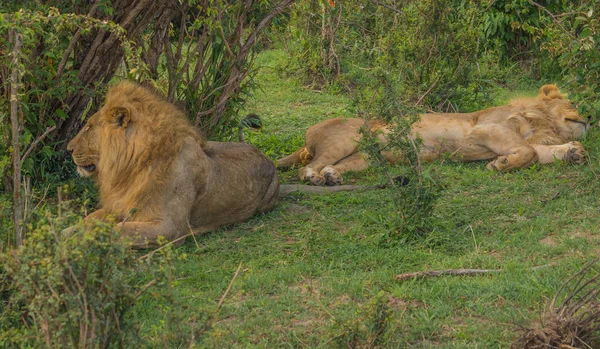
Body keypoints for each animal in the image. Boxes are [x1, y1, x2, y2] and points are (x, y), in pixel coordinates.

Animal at [67, 81, 278, 247]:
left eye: (88, 127)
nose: (68, 149)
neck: (132, 168)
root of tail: (266, 157)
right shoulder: (120, 206)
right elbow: (89, 218)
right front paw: (69, 232)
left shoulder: (170, 228)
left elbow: (119, 230)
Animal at [280, 84, 592, 185]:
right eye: (574, 103)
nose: (591, 117)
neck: (544, 124)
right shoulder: (488, 127)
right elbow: (528, 153)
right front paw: (500, 164)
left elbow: (537, 153)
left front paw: (574, 152)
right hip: (350, 137)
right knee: (308, 166)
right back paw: (314, 178)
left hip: (366, 158)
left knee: (336, 165)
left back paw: (332, 176)